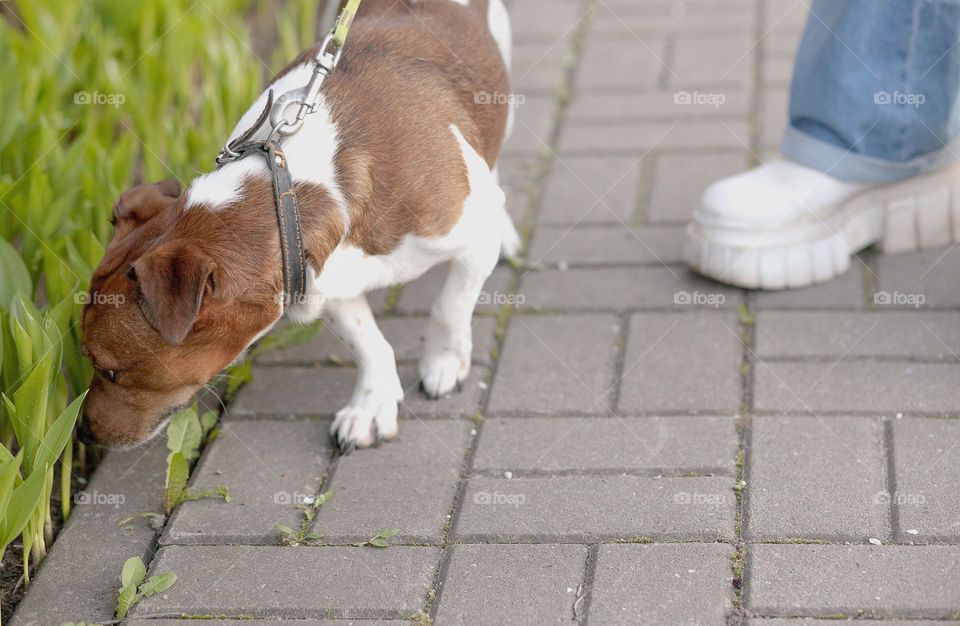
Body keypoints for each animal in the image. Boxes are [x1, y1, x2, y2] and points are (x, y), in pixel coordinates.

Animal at [79, 0, 520, 448]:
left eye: (111, 370)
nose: (81, 434)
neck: (284, 186)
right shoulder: (317, 276)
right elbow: (367, 340)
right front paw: (372, 403)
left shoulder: (471, 239)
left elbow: (449, 307)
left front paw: (444, 361)